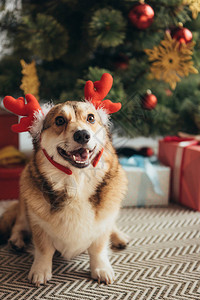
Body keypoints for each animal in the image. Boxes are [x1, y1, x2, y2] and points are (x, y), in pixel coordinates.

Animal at [0, 98, 128, 286]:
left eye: (90, 118)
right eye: (60, 120)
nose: (82, 135)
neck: (77, 182)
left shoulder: (102, 225)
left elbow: (98, 249)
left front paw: (101, 269)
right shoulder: (38, 224)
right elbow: (44, 250)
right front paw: (40, 271)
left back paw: (119, 237)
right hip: (24, 201)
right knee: (20, 223)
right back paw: (16, 240)